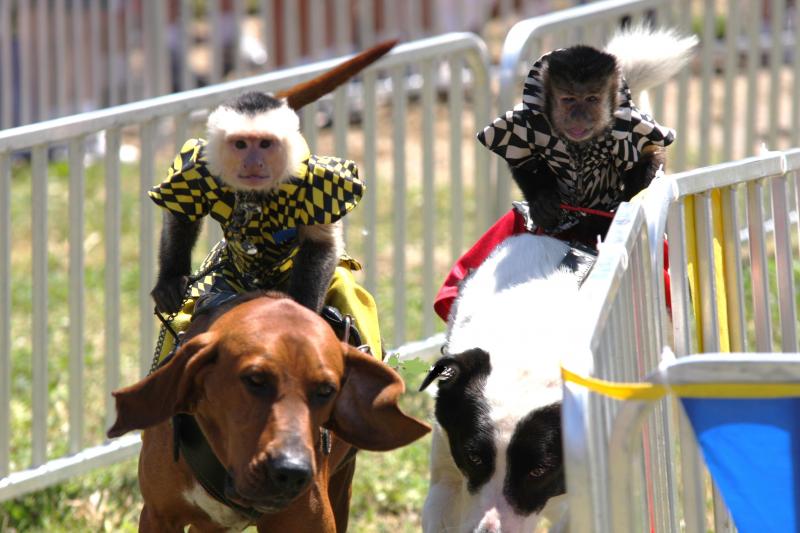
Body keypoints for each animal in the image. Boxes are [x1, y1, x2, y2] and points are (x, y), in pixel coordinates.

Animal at [478, 26, 697, 246]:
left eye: (591, 99)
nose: (579, 116)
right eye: (569, 99)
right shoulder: (523, 123)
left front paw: (628, 204)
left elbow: (649, 157)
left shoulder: (632, 128)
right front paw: (541, 202)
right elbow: (524, 162)